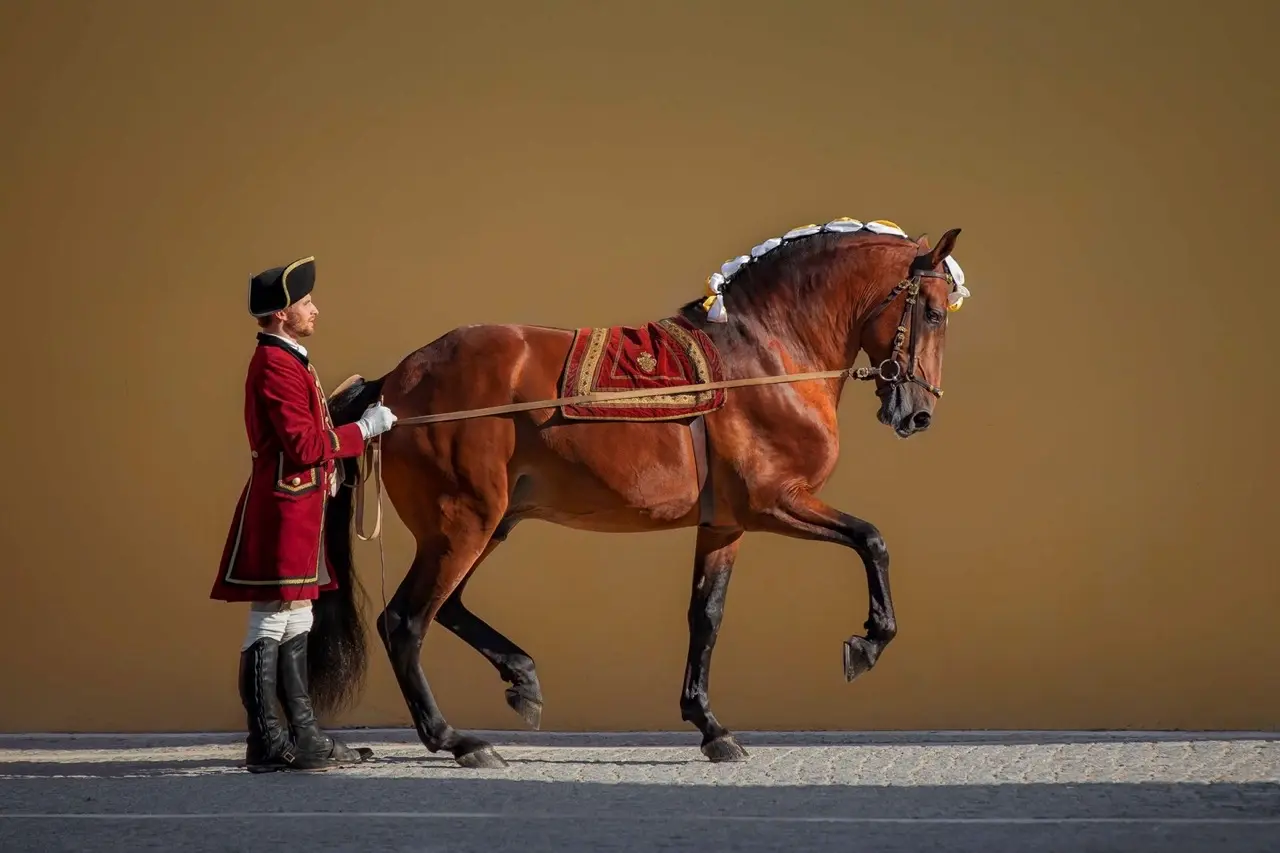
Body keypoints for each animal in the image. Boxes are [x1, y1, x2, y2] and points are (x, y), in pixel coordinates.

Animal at [304, 217, 962, 763]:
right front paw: (869, 641)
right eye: (932, 312)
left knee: (446, 608)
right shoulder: (775, 502)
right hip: (462, 524)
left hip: (485, 525)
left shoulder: (725, 524)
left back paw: (522, 678)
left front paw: (710, 726)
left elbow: (707, 615)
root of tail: (394, 385)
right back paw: (456, 739)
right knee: (406, 621)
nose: (919, 412)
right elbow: (872, 540)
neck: (768, 355)